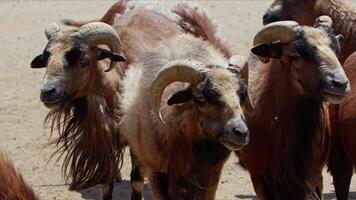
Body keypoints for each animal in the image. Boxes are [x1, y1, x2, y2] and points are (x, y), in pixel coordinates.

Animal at [28, 0, 181, 199]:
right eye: (47, 59)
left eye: (84, 60)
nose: (47, 91)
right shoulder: (104, 140)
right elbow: (106, 184)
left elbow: (137, 180)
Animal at [118, 23, 249, 200]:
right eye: (201, 98)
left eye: (242, 96)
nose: (241, 132)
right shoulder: (157, 173)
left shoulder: (210, 176)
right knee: (136, 180)